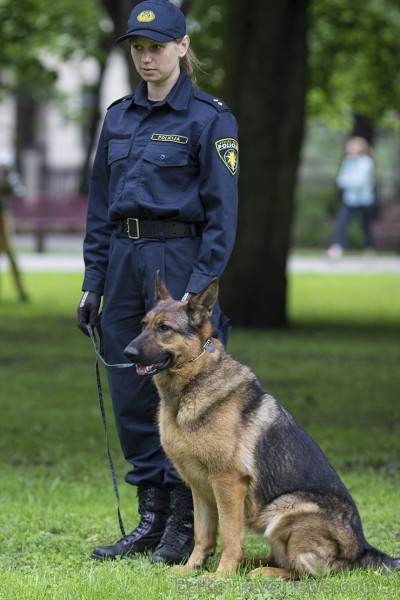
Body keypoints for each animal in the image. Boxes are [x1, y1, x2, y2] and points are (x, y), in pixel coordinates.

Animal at [123, 274, 398, 580]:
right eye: (143, 325)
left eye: (164, 328)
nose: (127, 353)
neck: (189, 389)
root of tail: (361, 550)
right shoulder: (198, 487)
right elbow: (202, 535)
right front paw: (190, 568)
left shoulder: (228, 483)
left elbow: (230, 535)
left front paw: (222, 575)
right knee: (281, 560)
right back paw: (251, 565)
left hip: (284, 512)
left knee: (308, 572)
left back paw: (261, 572)